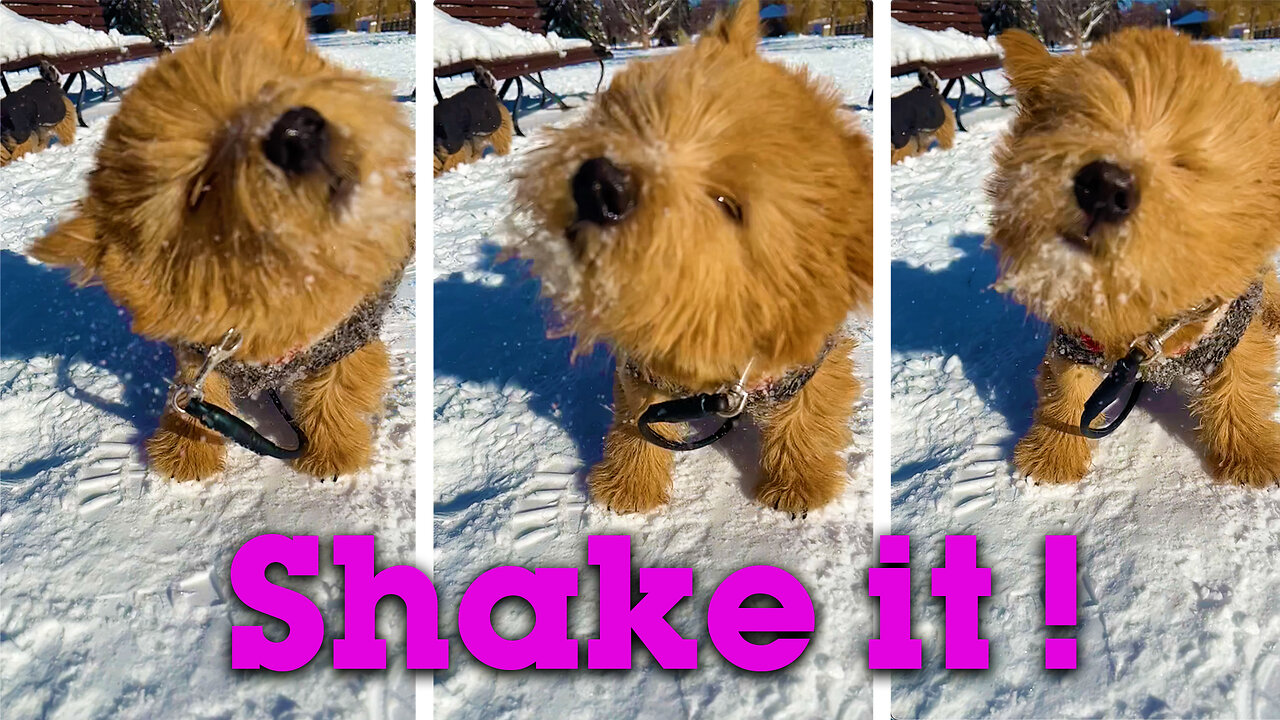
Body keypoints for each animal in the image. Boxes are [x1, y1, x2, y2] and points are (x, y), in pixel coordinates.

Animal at [28, 1, 414, 481]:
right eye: (201, 187)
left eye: (268, 88)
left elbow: (337, 388)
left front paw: (332, 452)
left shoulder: (345, 339)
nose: (295, 130)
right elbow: (195, 394)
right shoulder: (199, 355)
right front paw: (185, 454)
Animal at [509, 0, 870, 512]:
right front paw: (629, 486)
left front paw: (798, 483)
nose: (601, 184)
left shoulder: (811, 361)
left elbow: (810, 413)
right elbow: (637, 419)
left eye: (727, 204)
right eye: (643, 116)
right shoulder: (642, 366)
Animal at [988, 30, 1280, 484]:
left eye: (1186, 162)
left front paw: (1250, 453)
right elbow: (1066, 384)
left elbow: (1241, 381)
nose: (1104, 186)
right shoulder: (1076, 339)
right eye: (1081, 123)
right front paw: (1053, 453)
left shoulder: (1231, 325)